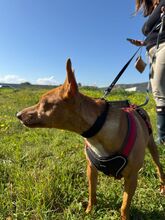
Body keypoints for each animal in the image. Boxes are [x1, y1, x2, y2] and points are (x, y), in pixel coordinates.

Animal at [17, 58, 165, 220]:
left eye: (44, 104)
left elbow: (124, 206)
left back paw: (162, 186)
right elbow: (92, 193)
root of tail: (137, 106)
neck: (98, 128)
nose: (18, 115)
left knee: (159, 167)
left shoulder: (132, 178)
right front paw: (89, 211)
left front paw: (123, 216)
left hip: (152, 147)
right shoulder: (91, 169)